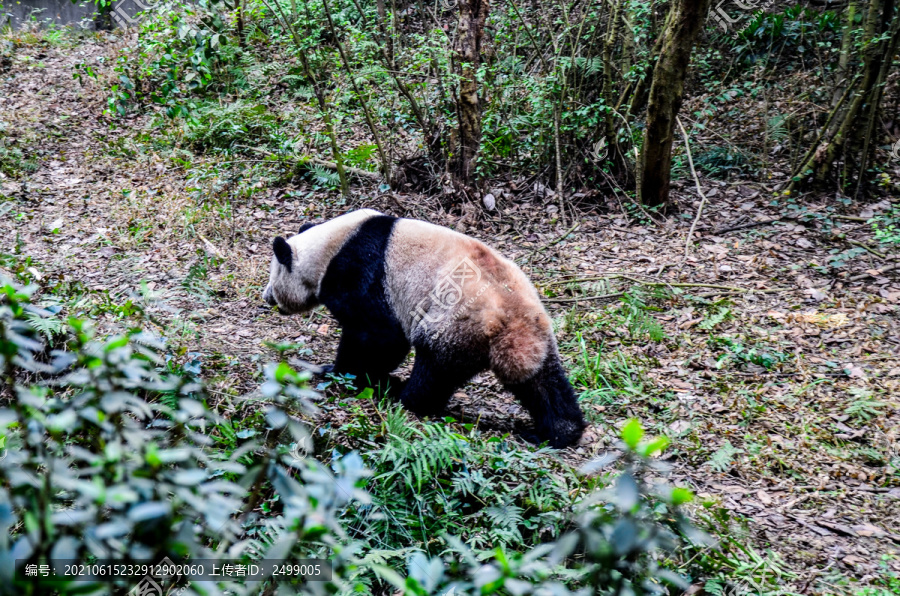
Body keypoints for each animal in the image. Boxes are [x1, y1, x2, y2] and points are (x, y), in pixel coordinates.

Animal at [262, 210, 584, 448]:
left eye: (273, 273)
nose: (267, 298)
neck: (329, 247)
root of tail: (509, 319)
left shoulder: (359, 272)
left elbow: (379, 335)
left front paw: (340, 371)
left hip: (455, 322)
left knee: (435, 368)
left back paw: (404, 396)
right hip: (535, 333)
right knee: (541, 381)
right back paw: (559, 431)